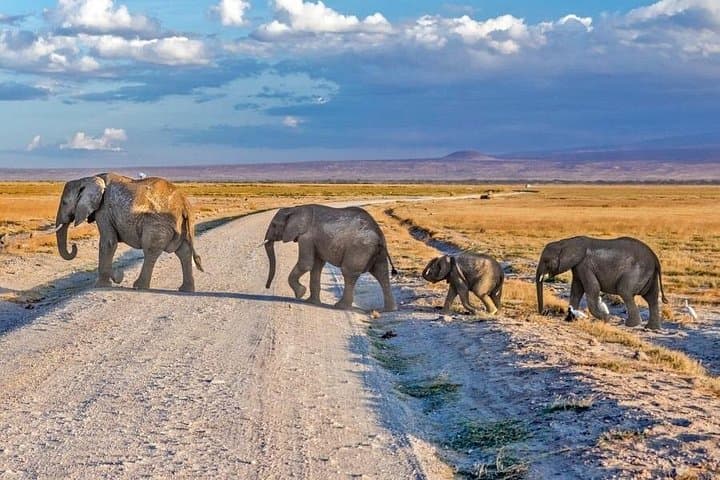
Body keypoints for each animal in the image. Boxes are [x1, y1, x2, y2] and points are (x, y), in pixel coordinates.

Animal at [55, 173, 203, 291]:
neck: (88, 178)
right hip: (182, 226)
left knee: (151, 250)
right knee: (184, 252)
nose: (74, 246)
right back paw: (185, 290)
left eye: (64, 202)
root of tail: (184, 204)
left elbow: (108, 243)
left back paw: (139, 287)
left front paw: (103, 284)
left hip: (157, 224)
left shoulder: (104, 210)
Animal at [263, 204, 397, 311]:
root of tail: (380, 235)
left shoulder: (306, 237)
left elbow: (306, 264)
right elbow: (316, 266)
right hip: (375, 251)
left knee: (349, 273)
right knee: (382, 273)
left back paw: (340, 307)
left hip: (360, 248)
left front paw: (300, 294)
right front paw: (311, 302)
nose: (267, 287)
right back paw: (389, 310)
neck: (295, 209)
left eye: (274, 225)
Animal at [535, 236, 668, 329]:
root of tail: (655, 258)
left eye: (546, 261)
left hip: (637, 272)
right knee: (652, 298)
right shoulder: (578, 267)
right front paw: (569, 319)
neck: (565, 242)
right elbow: (576, 290)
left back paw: (631, 325)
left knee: (625, 292)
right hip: (649, 274)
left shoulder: (585, 265)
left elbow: (592, 288)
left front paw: (606, 319)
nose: (544, 312)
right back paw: (651, 328)